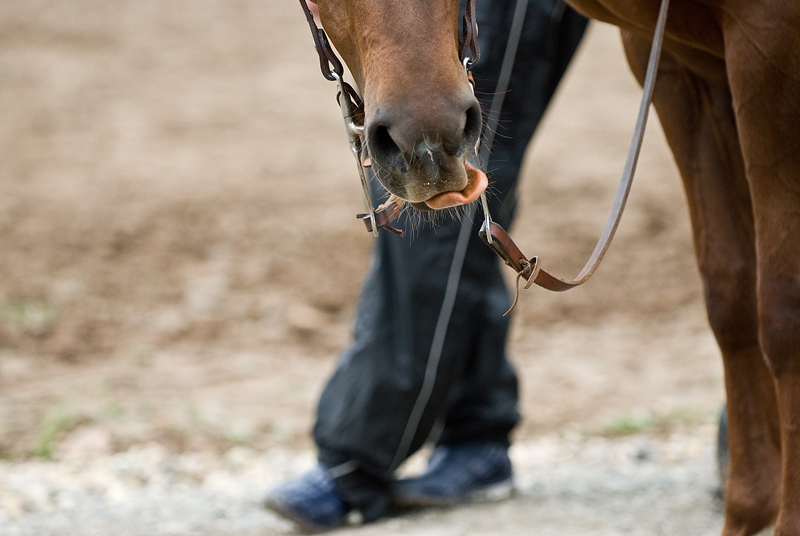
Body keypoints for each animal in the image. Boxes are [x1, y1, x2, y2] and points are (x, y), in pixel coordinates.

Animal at [314, 0, 800, 532]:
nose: (426, 144)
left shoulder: (769, 51)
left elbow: (783, 320)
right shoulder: (681, 68)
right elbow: (731, 300)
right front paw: (750, 513)